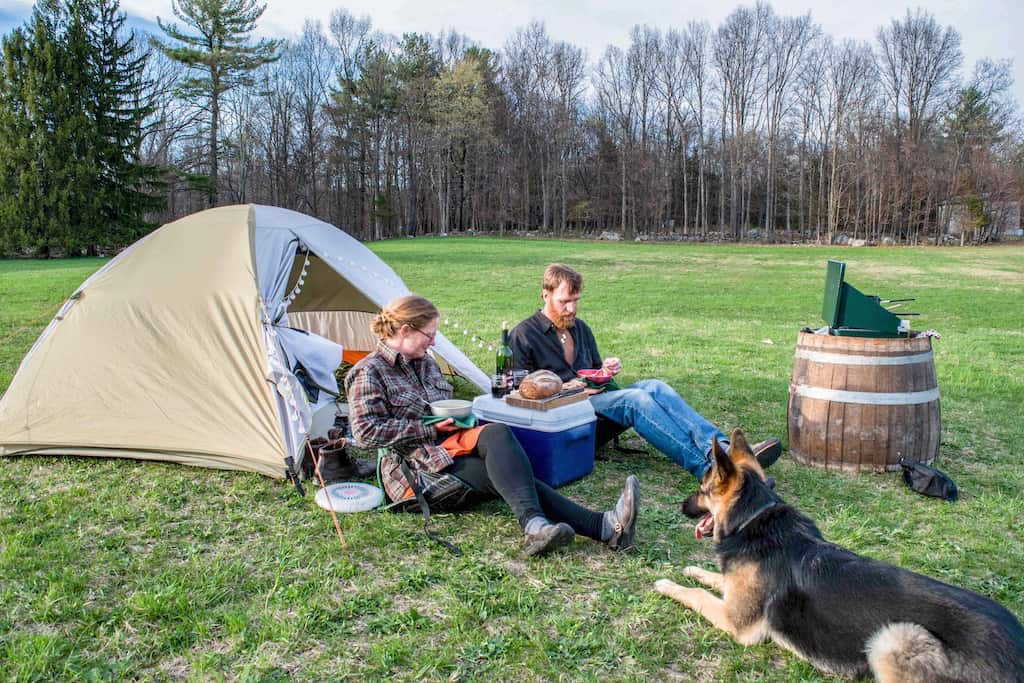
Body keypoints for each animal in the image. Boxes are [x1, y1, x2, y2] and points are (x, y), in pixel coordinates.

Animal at [655, 430, 1024, 679]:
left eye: (702, 490)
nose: (682, 505)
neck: (753, 517)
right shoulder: (734, 593)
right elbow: (714, 578)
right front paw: (692, 569)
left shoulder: (736, 620)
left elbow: (697, 594)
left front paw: (667, 584)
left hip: (892, 637)